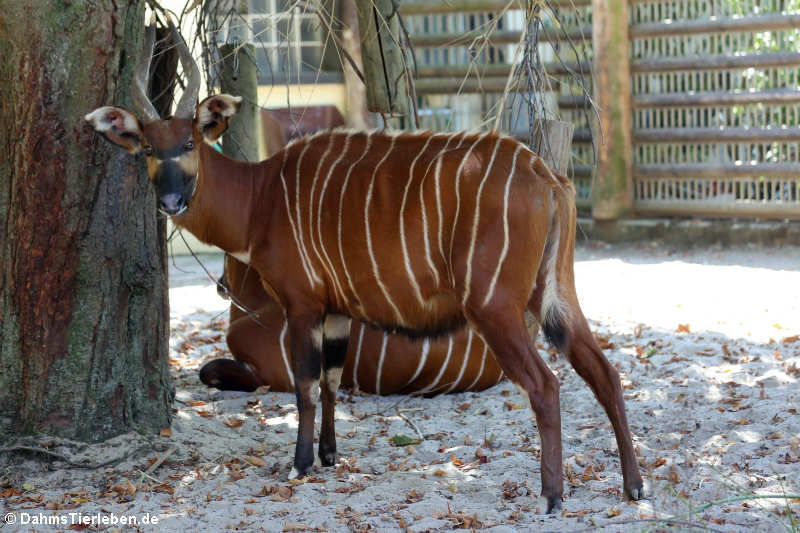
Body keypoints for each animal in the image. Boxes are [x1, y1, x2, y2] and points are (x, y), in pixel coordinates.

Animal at [84, 21, 644, 512]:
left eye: (190, 142)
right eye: (148, 148)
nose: (172, 200)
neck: (259, 199)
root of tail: (546, 175)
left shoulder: (303, 304)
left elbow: (306, 385)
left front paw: (301, 464)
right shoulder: (337, 311)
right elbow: (332, 381)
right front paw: (331, 456)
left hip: (495, 306)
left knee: (546, 385)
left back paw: (551, 497)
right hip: (555, 293)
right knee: (606, 373)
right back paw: (634, 488)